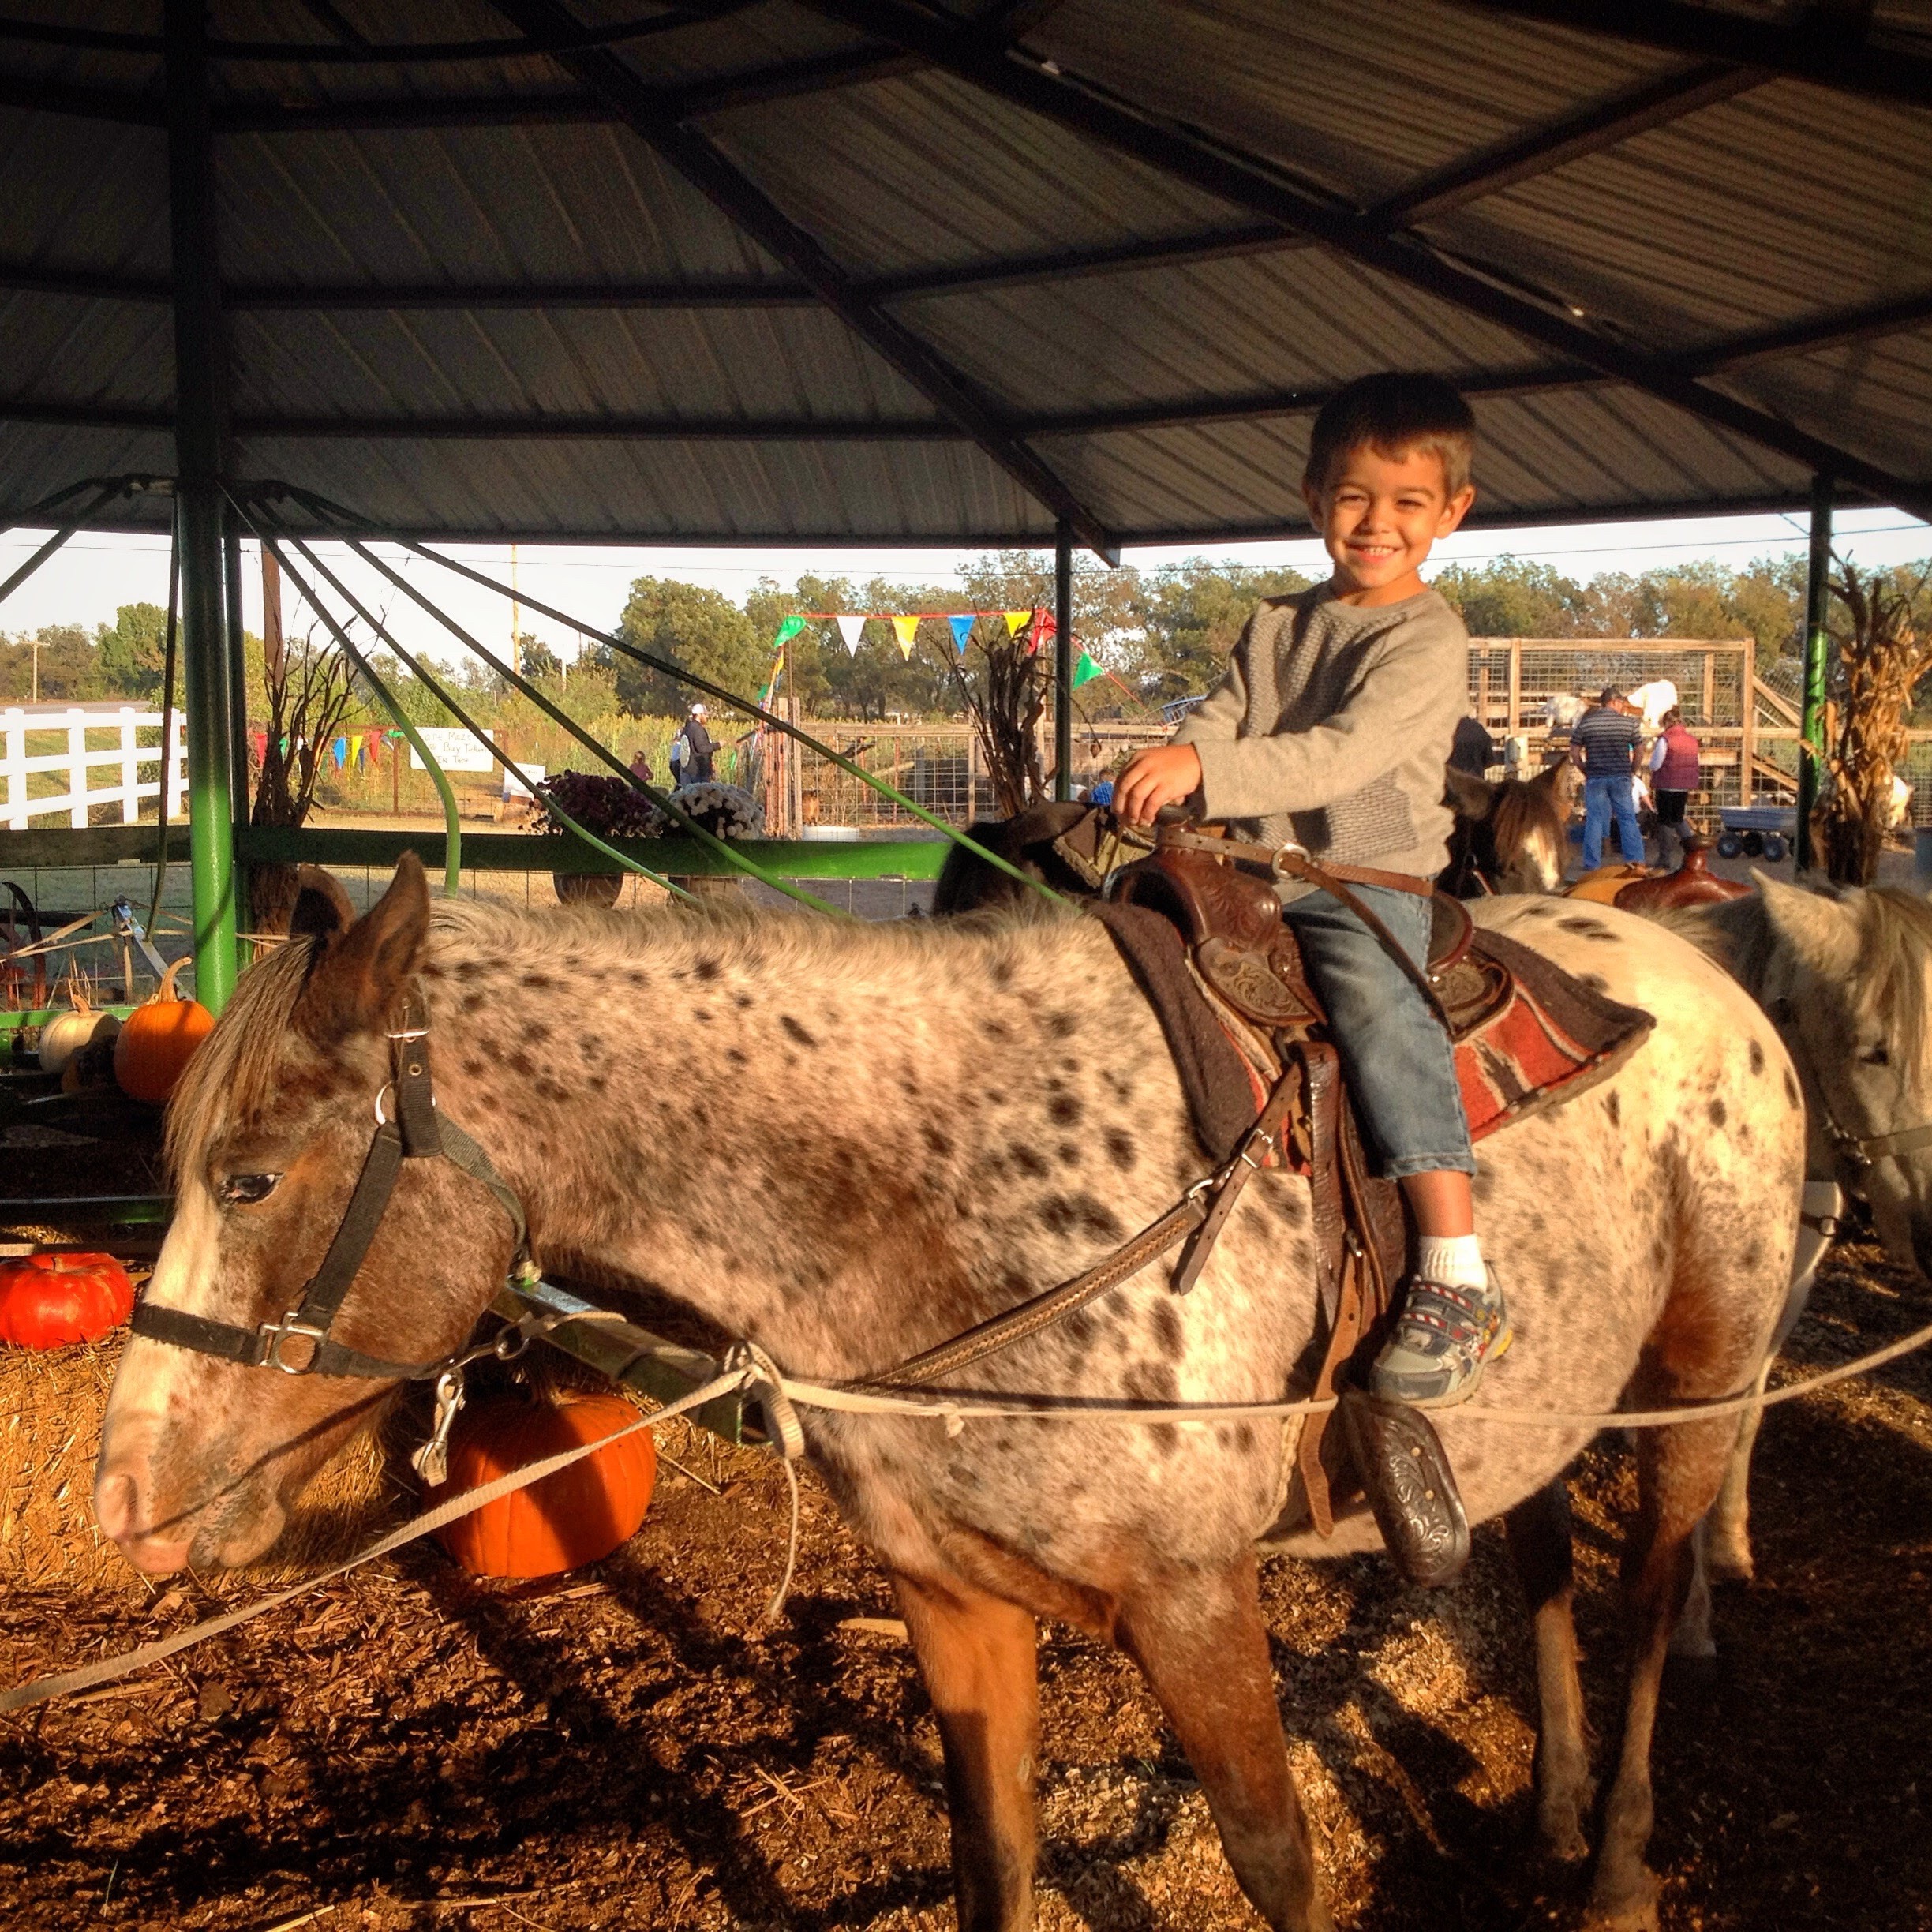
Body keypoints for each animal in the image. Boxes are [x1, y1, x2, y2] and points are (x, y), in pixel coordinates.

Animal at [102, 861, 1792, 1932]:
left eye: (249, 1176)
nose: (123, 1495)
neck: (940, 1192)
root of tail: (1714, 982)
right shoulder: (948, 1593)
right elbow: (996, 1855)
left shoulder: (1192, 1597)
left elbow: (1276, 1863)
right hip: (1547, 1417)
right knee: (1546, 1566)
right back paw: (1555, 1808)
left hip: (1699, 1387)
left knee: (1652, 1597)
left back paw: (1618, 1871)